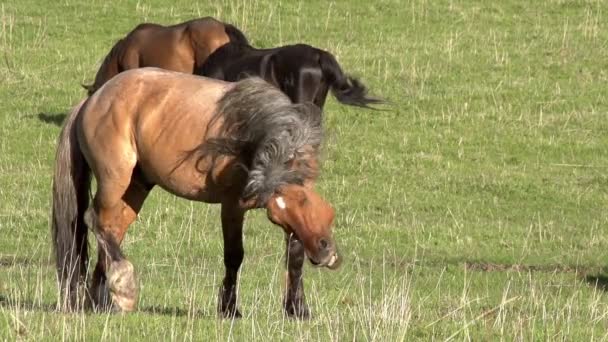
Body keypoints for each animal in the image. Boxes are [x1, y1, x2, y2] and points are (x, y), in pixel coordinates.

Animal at [54, 68, 340, 320]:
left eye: (303, 200)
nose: (325, 253)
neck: (253, 134)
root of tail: (91, 101)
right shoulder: (232, 206)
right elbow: (234, 256)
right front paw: (229, 309)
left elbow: (294, 256)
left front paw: (298, 309)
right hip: (115, 181)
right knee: (95, 220)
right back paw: (124, 289)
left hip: (135, 188)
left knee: (110, 230)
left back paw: (102, 301)